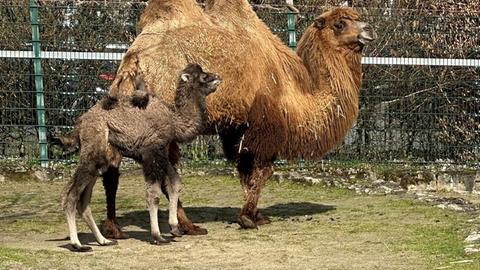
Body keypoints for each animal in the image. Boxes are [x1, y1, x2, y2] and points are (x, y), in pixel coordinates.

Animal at [62, 63, 221, 251]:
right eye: (203, 76)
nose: (218, 77)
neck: (175, 122)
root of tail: (79, 124)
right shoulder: (151, 152)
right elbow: (154, 194)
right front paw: (158, 236)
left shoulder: (160, 153)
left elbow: (175, 182)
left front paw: (175, 228)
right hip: (92, 151)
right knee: (71, 194)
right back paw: (78, 244)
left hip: (99, 159)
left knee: (84, 200)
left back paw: (104, 240)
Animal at [101, 0, 376, 236]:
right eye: (339, 24)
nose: (369, 29)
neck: (295, 96)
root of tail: (134, 61)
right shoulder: (263, 129)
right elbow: (263, 172)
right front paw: (247, 218)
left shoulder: (235, 130)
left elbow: (244, 172)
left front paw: (256, 215)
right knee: (167, 171)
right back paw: (187, 226)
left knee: (116, 165)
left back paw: (116, 228)